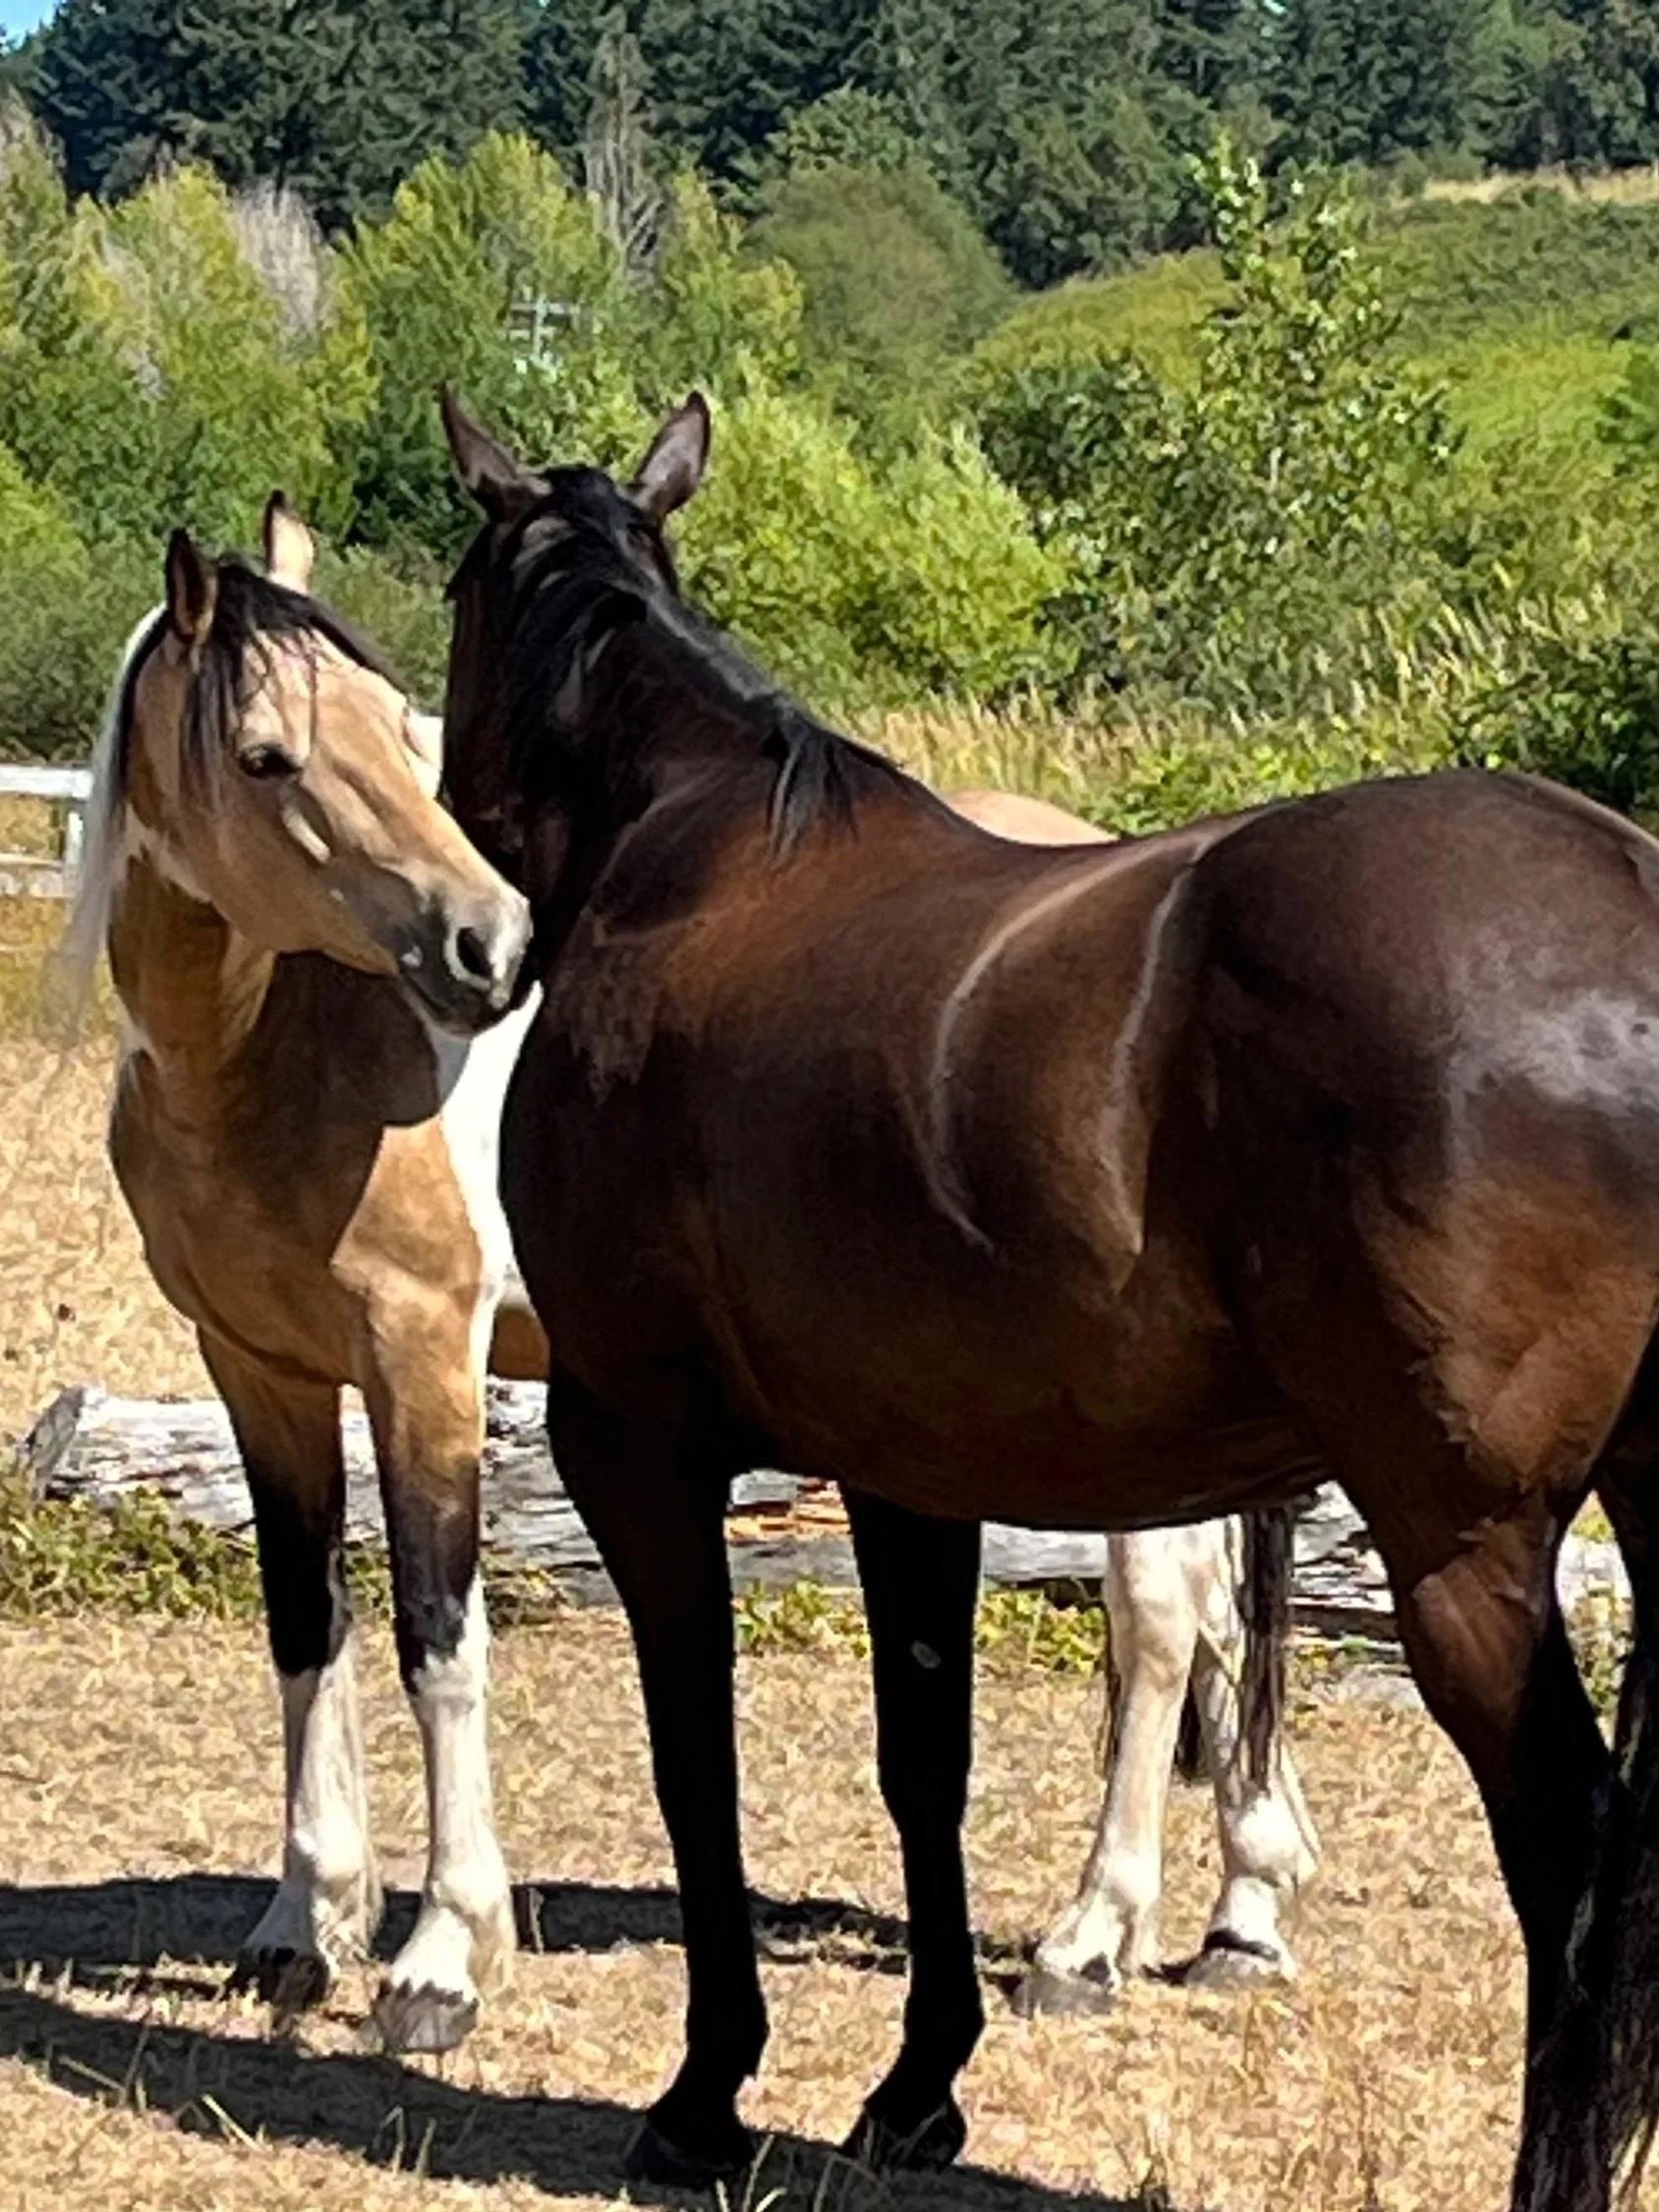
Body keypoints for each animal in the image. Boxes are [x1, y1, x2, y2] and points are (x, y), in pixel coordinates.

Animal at [61, 498, 535, 2055]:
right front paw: (303, 1924)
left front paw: (444, 1955)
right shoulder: (256, 1369)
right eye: (268, 755)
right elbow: (304, 1622)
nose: (491, 946)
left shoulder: (426, 1362)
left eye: (403, 724)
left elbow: (440, 1636)